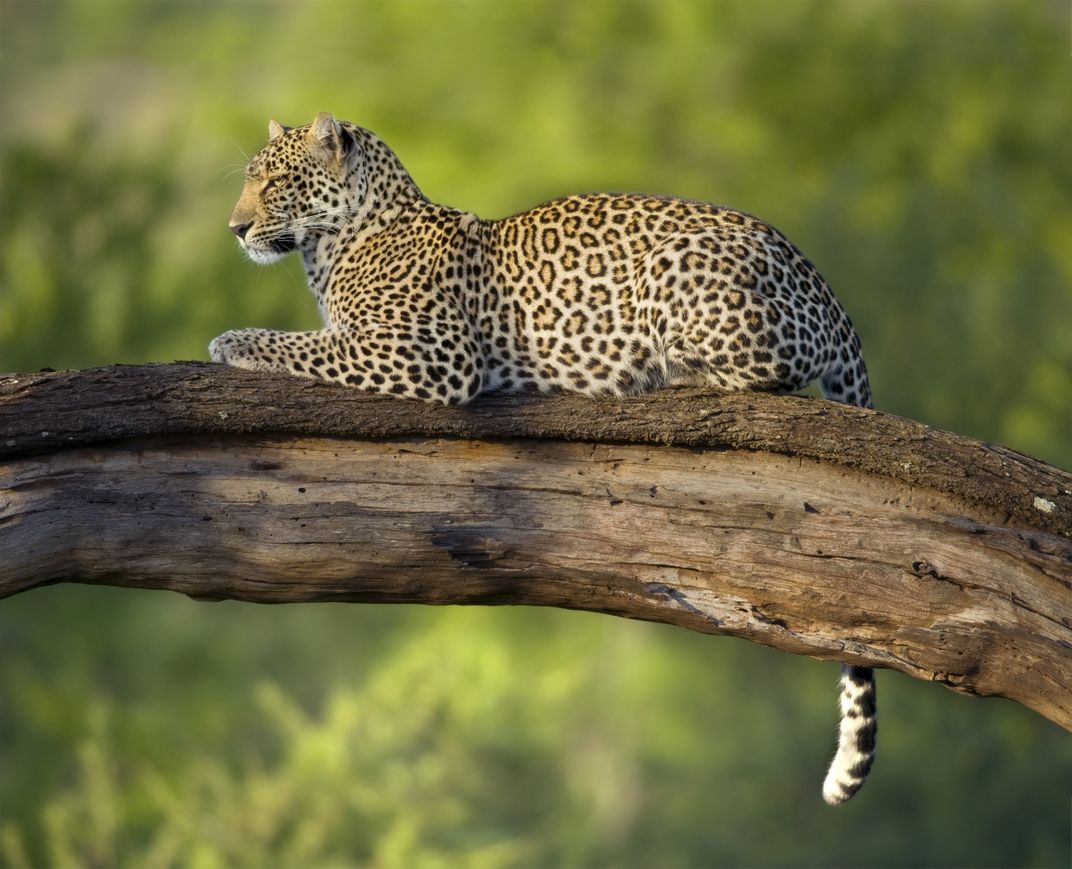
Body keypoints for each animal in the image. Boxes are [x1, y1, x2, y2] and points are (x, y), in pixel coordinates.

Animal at [211, 111, 878, 805]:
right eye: (250, 180)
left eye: (275, 183)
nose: (234, 228)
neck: (334, 247)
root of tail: (826, 289)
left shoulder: (430, 352)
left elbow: (305, 345)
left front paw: (230, 342)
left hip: (682, 268)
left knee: (760, 376)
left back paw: (659, 377)